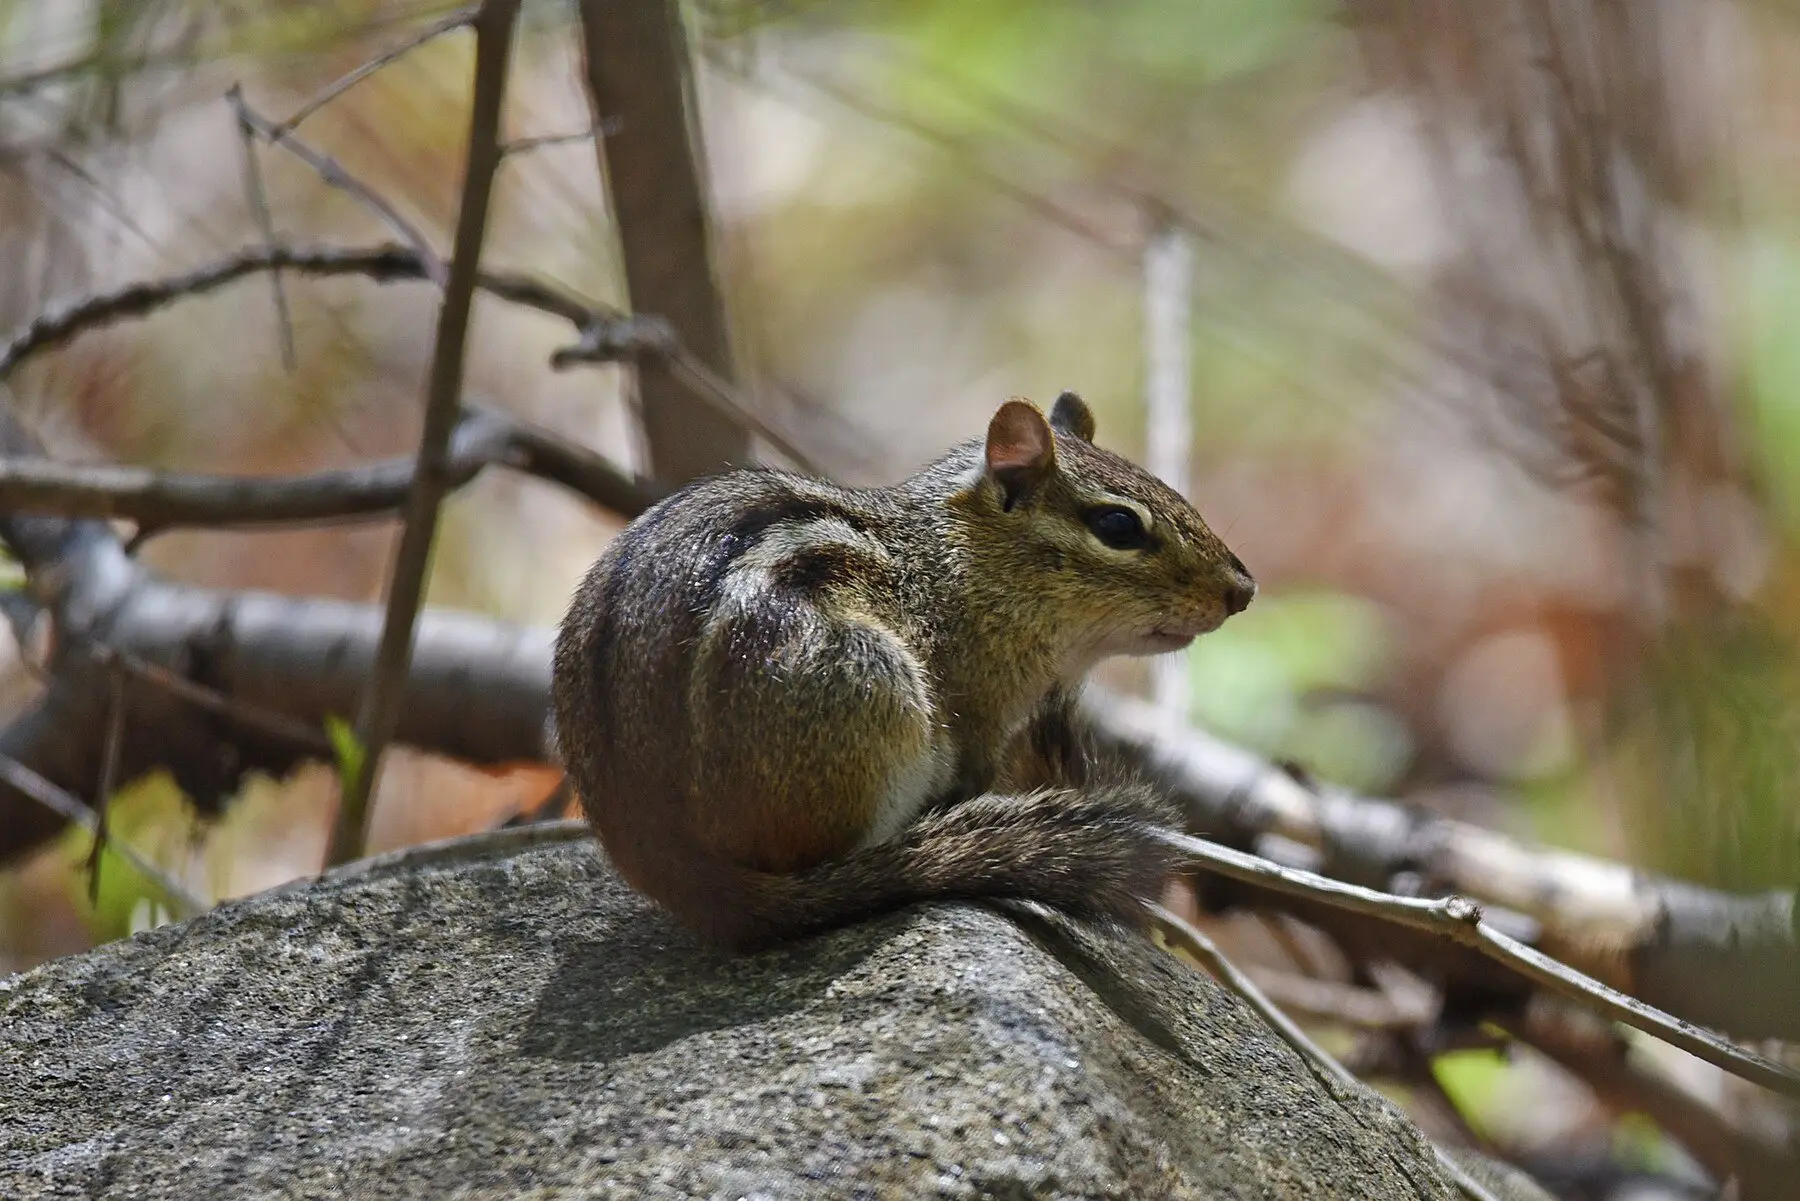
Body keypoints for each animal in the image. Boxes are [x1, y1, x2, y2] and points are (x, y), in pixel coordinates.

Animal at [552, 392, 1255, 951]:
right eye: (1118, 525)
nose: (1243, 591)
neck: (960, 565)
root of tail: (687, 879)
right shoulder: (982, 719)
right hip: (871, 686)